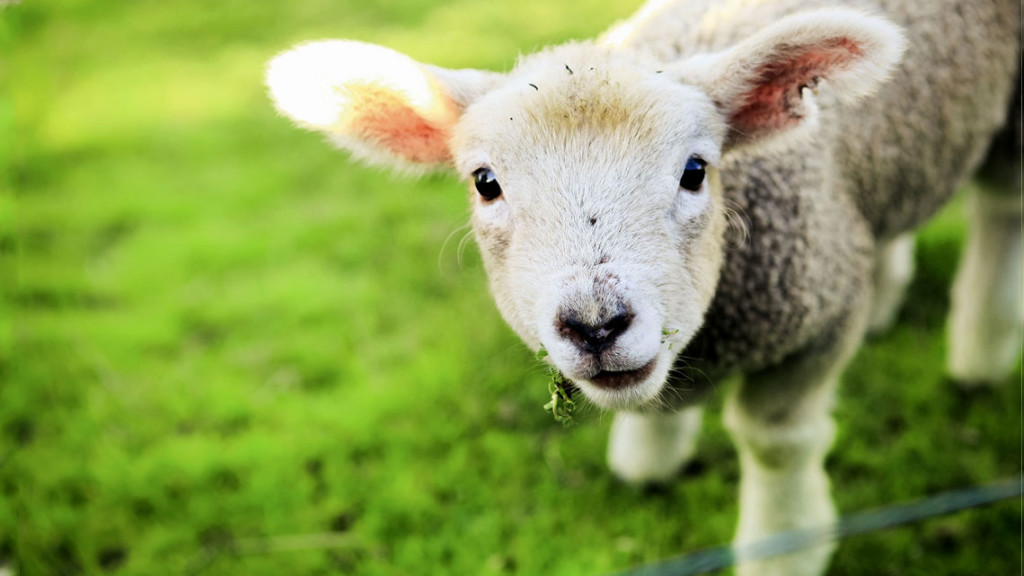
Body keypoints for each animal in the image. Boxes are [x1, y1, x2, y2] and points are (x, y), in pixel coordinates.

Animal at [262, 2, 1015, 569]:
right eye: (485, 182)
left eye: (696, 170)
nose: (595, 325)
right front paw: (648, 460)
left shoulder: (819, 318)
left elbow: (777, 443)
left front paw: (784, 547)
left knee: (1001, 210)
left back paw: (982, 354)